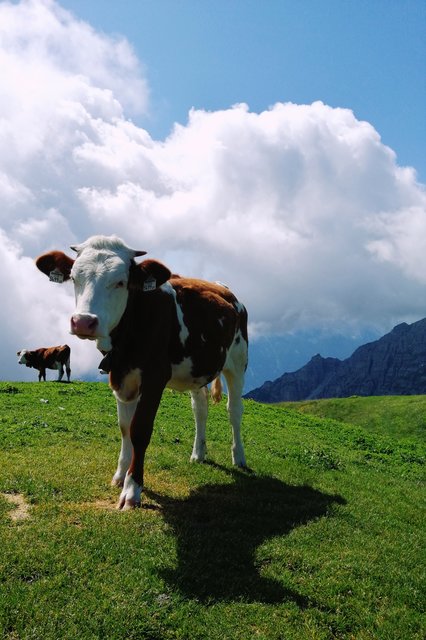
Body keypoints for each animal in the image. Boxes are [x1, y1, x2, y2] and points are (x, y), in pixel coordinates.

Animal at [35, 235, 248, 510]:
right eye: (74, 278)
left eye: (120, 282)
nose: (83, 321)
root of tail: (227, 291)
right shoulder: (119, 376)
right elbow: (125, 427)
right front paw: (120, 475)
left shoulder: (155, 377)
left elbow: (140, 429)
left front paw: (132, 488)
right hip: (197, 370)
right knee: (200, 408)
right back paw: (198, 453)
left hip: (238, 362)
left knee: (234, 411)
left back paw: (239, 457)